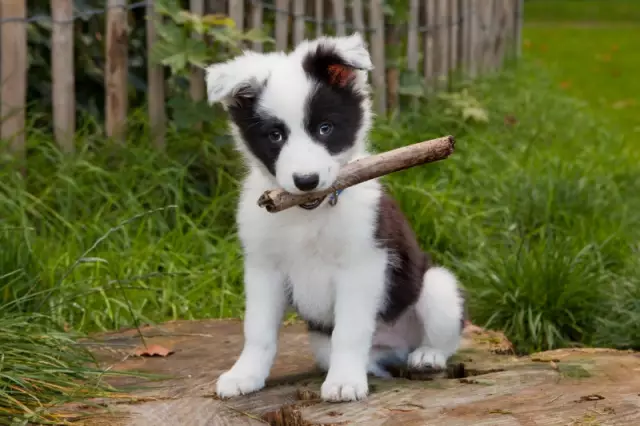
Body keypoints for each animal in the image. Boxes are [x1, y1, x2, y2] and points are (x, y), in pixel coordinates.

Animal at [205, 33, 464, 402]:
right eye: (275, 135)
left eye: (325, 128)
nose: (306, 181)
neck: (308, 216)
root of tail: (397, 347)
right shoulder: (263, 268)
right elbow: (257, 330)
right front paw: (245, 375)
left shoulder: (362, 264)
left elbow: (349, 331)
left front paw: (344, 382)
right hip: (320, 341)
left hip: (437, 286)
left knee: (445, 337)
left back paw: (426, 356)